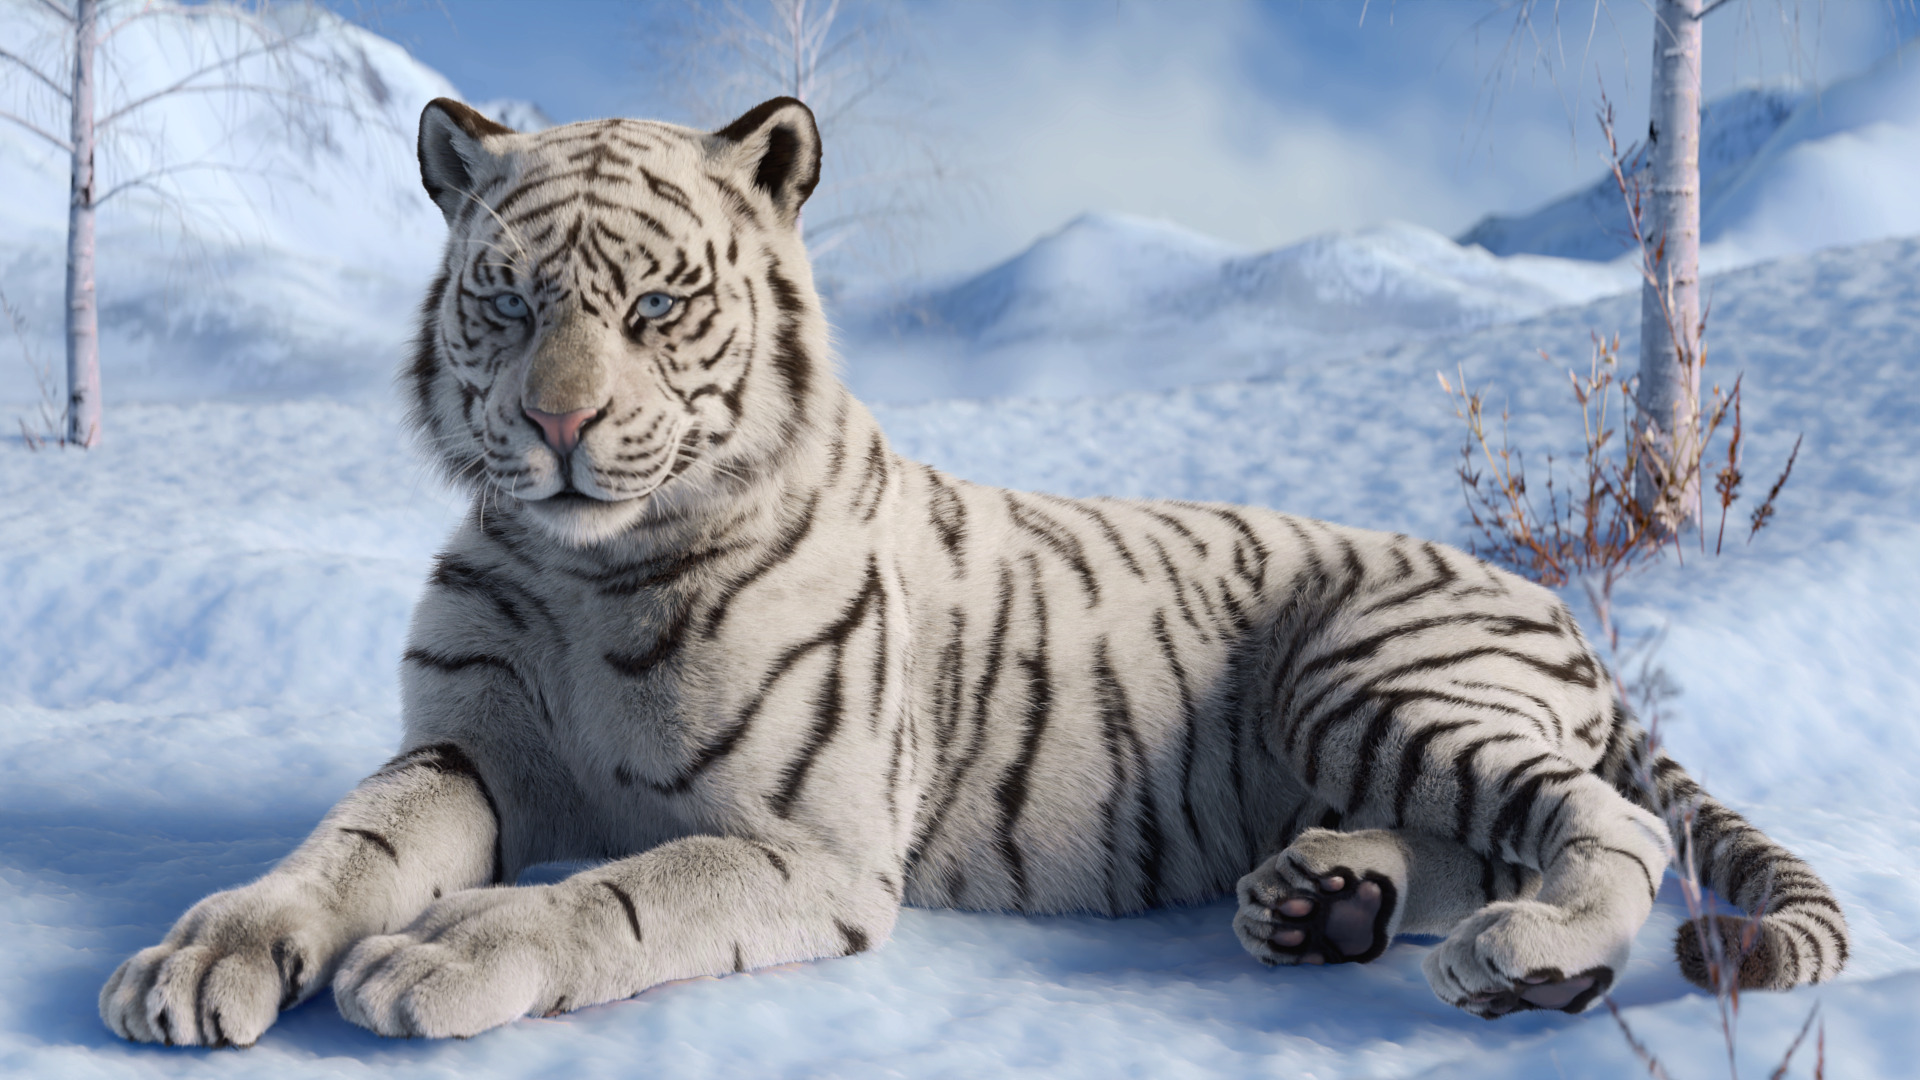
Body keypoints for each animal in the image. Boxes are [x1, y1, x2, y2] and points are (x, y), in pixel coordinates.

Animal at [99, 96, 1848, 1047]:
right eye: (510, 302)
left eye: (657, 306)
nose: (561, 424)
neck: (593, 570)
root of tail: (1547, 600)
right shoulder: (466, 745)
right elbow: (338, 848)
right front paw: (202, 957)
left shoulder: (805, 841)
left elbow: (617, 893)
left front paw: (438, 957)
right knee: (1486, 836)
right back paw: (1321, 900)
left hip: (1367, 678)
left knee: (1605, 823)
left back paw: (1522, 959)